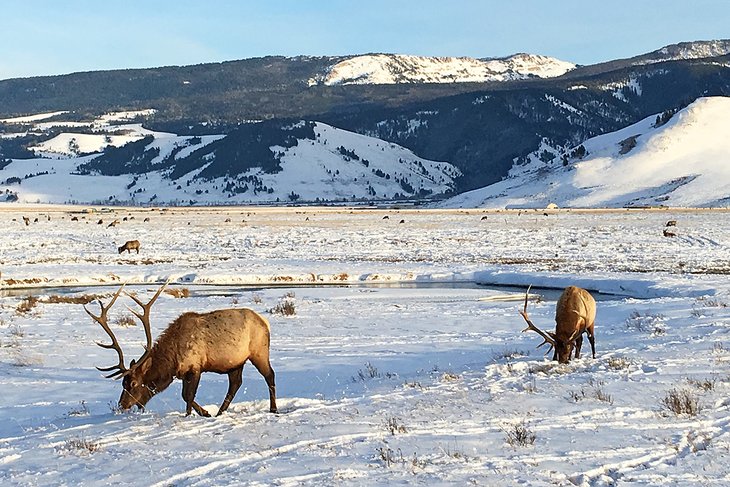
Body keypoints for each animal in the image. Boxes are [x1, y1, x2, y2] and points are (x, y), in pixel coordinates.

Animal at [85, 284, 278, 418]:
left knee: (270, 375)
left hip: (259, 351)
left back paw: (273, 409)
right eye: (122, 384)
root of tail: (265, 322)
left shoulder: (195, 367)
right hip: (235, 361)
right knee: (235, 384)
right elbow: (187, 396)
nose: (122, 405)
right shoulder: (183, 372)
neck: (172, 360)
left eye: (133, 383)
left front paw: (192, 415)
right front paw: (205, 413)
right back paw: (220, 412)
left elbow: (187, 396)